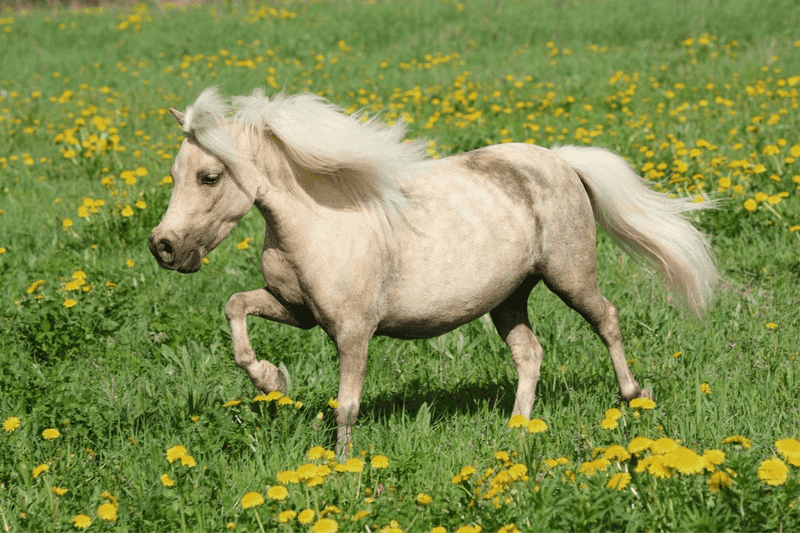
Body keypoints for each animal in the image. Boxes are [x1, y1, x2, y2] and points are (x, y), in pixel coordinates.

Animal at [150, 85, 720, 456]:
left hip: (569, 275)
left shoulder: (353, 332)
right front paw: (271, 381)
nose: (164, 247)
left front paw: (342, 467)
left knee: (607, 319)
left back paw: (633, 396)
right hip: (508, 298)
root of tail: (559, 160)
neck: (320, 221)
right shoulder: (298, 311)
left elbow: (346, 405)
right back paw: (516, 429)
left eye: (209, 176)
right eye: (175, 174)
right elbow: (236, 307)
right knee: (530, 353)